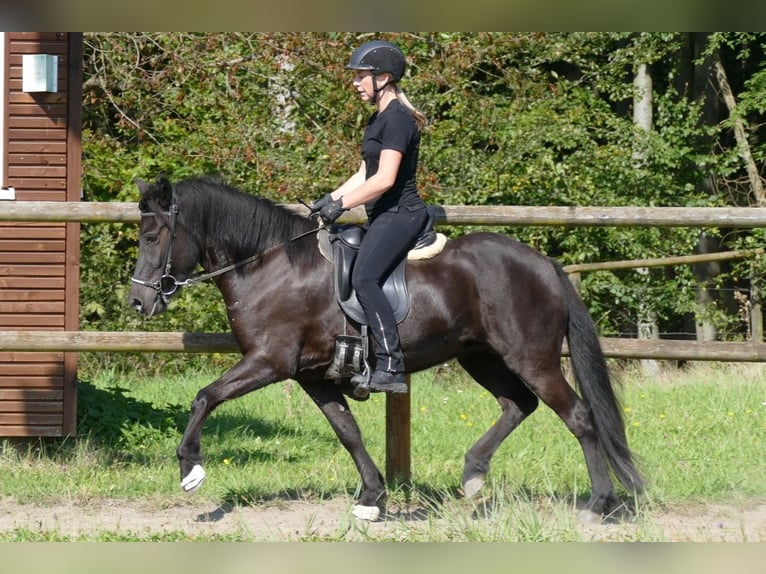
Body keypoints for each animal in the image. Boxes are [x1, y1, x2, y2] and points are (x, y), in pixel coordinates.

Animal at [129, 176, 644, 520]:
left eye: (152, 236)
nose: (138, 302)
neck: (271, 266)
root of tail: (544, 264)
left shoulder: (268, 362)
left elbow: (205, 396)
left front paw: (190, 469)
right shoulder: (312, 376)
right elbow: (348, 432)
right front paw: (372, 497)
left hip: (530, 358)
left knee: (577, 415)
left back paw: (600, 503)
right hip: (479, 355)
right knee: (518, 404)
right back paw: (474, 474)